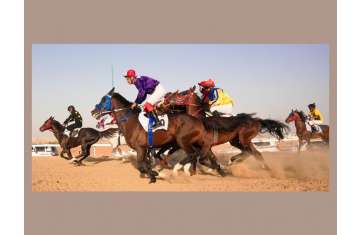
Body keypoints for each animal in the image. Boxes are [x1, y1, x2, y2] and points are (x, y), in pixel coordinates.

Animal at [90, 89, 225, 183]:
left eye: (103, 100)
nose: (93, 112)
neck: (131, 121)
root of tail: (198, 121)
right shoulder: (145, 148)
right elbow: (144, 165)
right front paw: (154, 173)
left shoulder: (141, 148)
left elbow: (142, 164)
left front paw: (156, 174)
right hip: (195, 142)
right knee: (203, 155)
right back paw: (218, 170)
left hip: (182, 140)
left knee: (193, 154)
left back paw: (178, 168)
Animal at [159, 86, 288, 171]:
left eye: (181, 94)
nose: (162, 104)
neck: (199, 120)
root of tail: (257, 120)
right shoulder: (205, 146)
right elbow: (208, 159)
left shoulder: (206, 145)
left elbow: (202, 159)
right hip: (236, 141)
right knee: (254, 153)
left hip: (244, 139)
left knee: (251, 152)